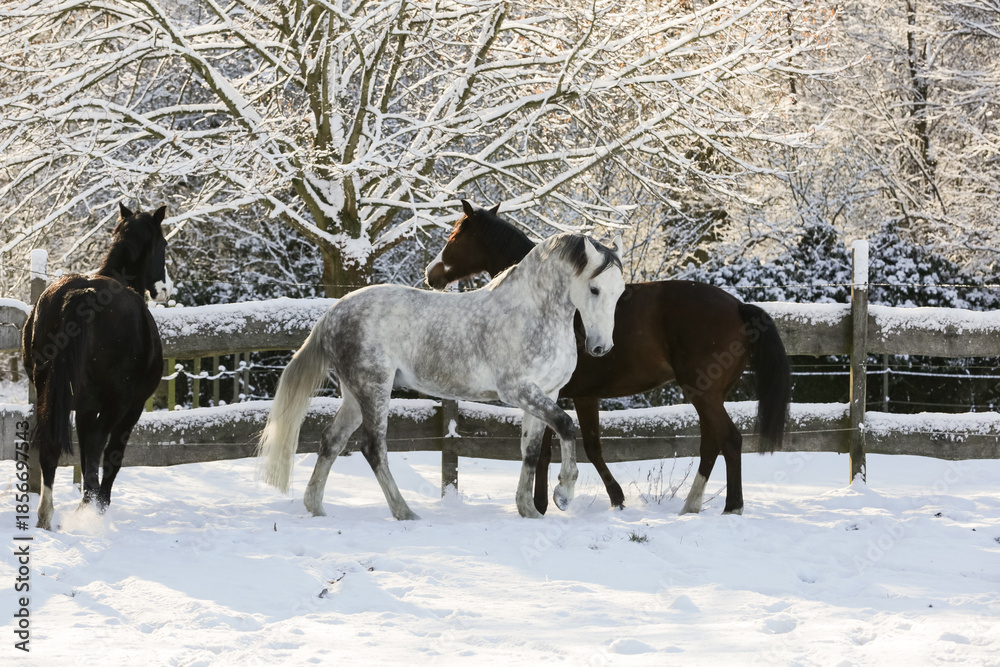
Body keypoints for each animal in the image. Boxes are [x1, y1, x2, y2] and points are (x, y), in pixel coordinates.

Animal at [22, 203, 167, 530]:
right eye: (164, 245)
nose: (165, 289)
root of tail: (81, 295)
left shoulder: (85, 407)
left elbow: (86, 452)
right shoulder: (131, 406)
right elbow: (110, 454)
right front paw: (98, 503)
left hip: (48, 393)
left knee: (50, 447)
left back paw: (46, 516)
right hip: (117, 404)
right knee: (102, 446)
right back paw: (89, 507)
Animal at [258, 203, 625, 520]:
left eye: (620, 291)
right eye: (594, 289)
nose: (601, 347)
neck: (531, 313)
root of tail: (332, 313)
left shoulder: (545, 393)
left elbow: (531, 451)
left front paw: (529, 511)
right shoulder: (519, 391)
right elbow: (566, 426)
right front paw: (563, 495)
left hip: (353, 395)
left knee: (332, 441)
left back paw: (316, 507)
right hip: (374, 388)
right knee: (373, 448)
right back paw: (405, 512)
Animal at [425, 202, 791, 516]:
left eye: (455, 236)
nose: (431, 274)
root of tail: (738, 307)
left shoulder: (568, 394)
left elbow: (562, 449)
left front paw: (553, 501)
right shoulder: (574, 396)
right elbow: (575, 447)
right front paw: (595, 499)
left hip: (704, 393)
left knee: (729, 440)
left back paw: (732, 507)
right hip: (709, 396)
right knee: (711, 443)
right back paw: (692, 505)